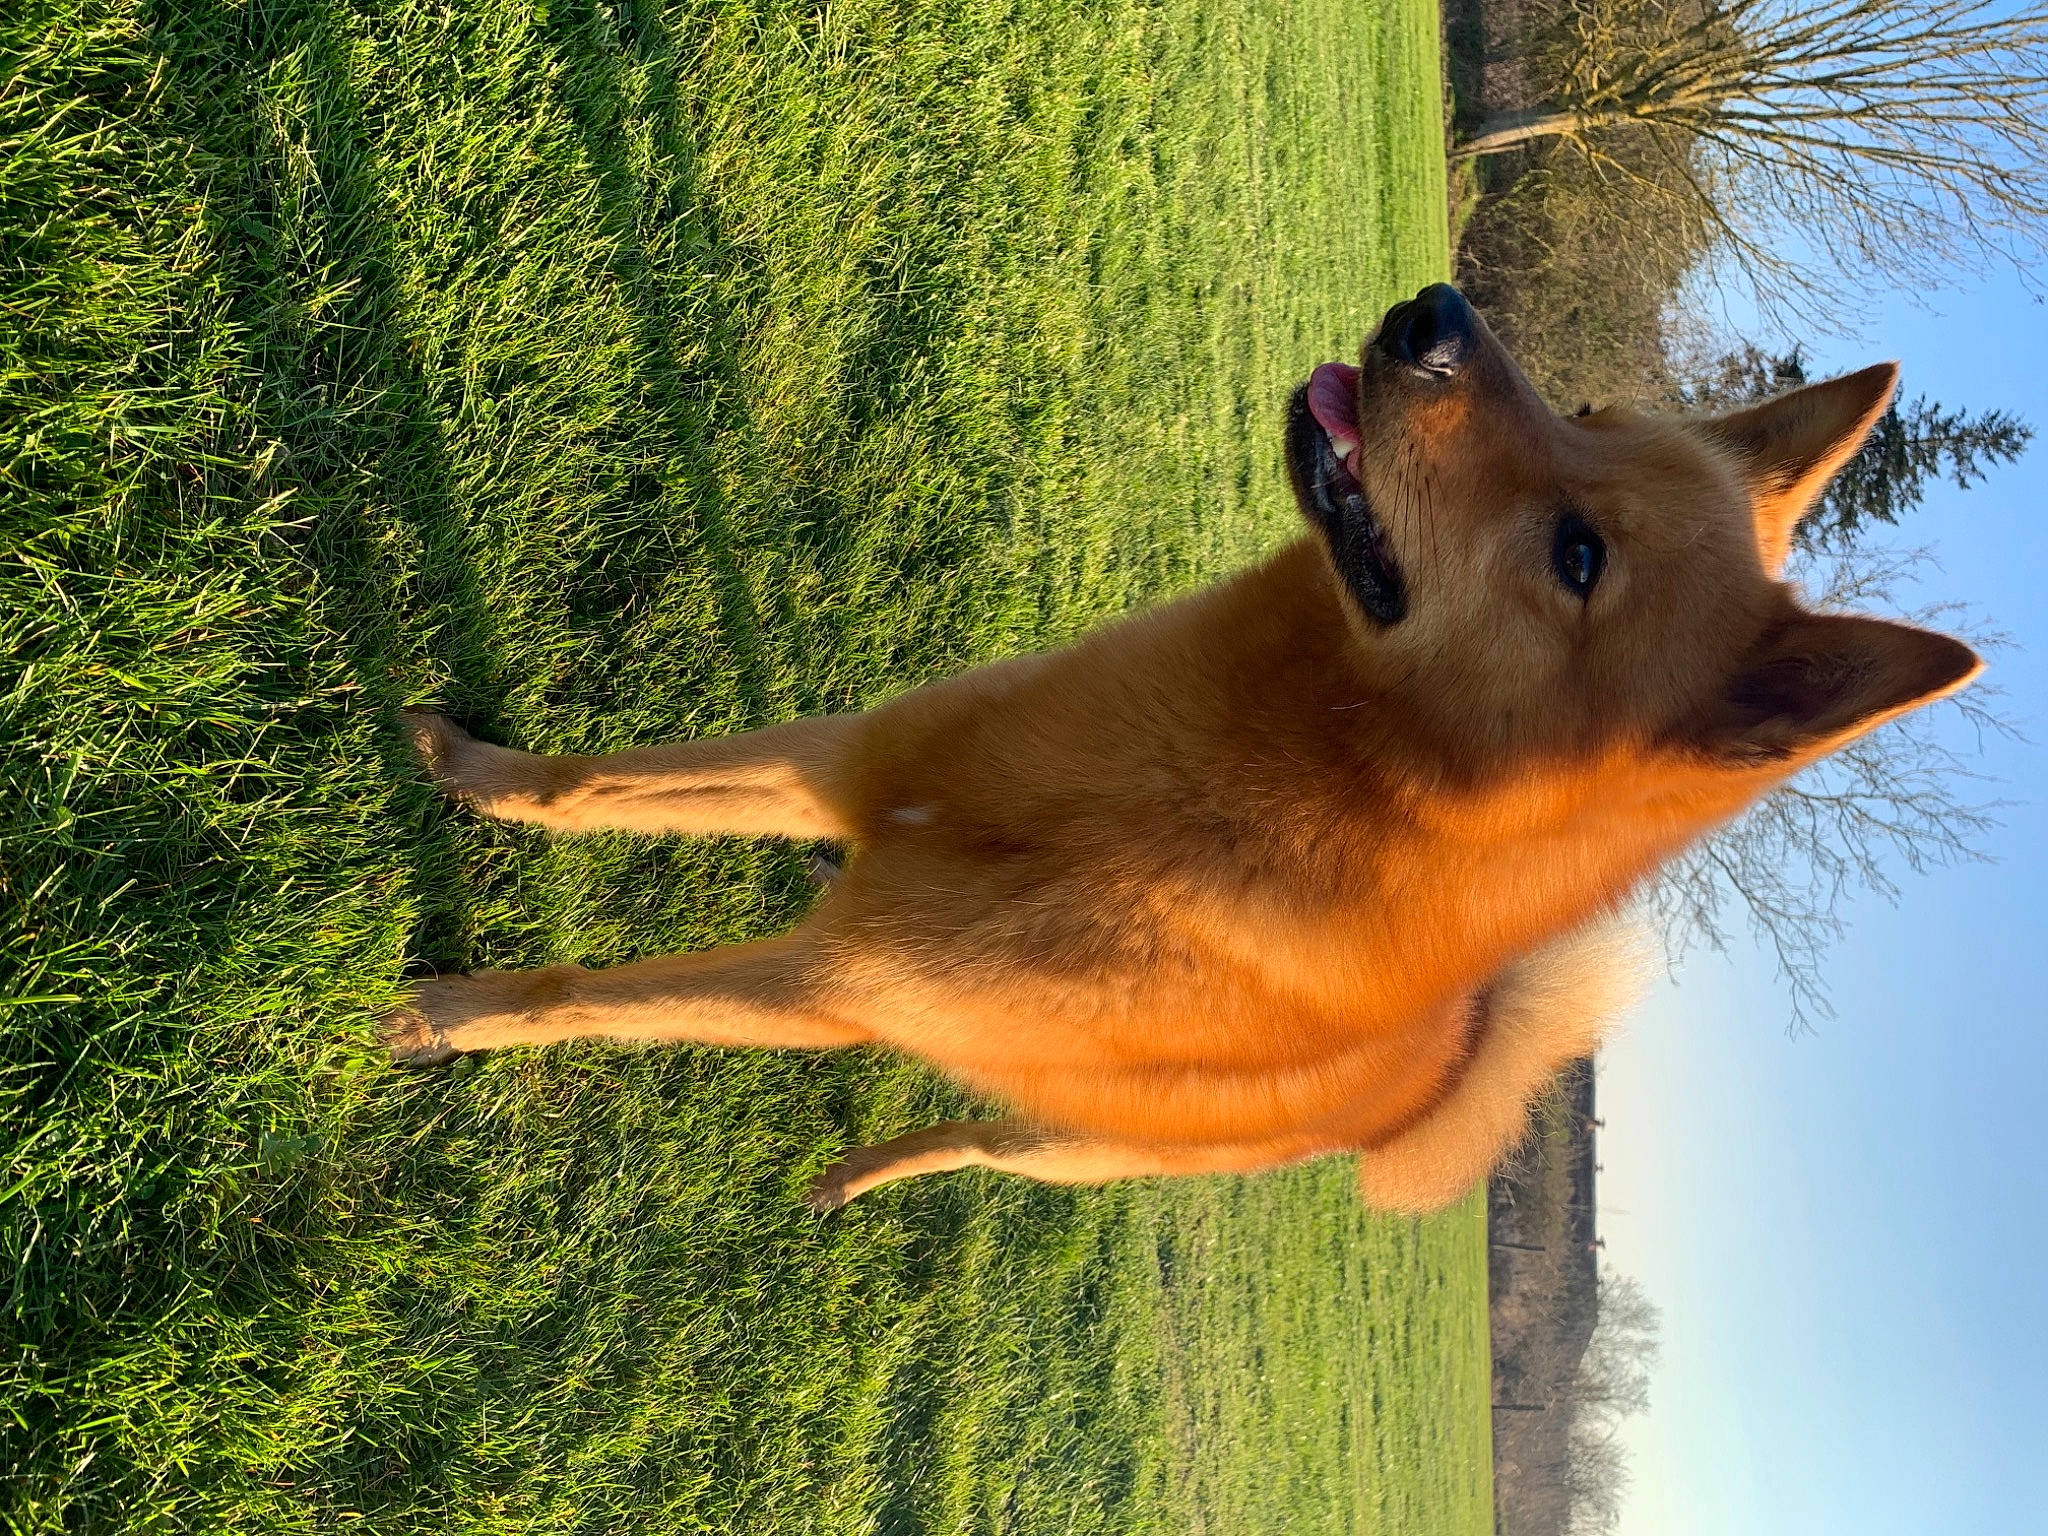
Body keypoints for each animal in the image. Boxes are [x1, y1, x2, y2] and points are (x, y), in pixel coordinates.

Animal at [387, 283, 1981, 1213]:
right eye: (1592, 408)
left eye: (1580, 557)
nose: (1434, 311)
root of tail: (1457, 1062)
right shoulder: (843, 768)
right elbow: (598, 786)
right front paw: (475, 771)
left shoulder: (835, 986)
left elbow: (581, 998)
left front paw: (439, 1015)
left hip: (1088, 1145)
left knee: (985, 1140)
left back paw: (875, 1168)